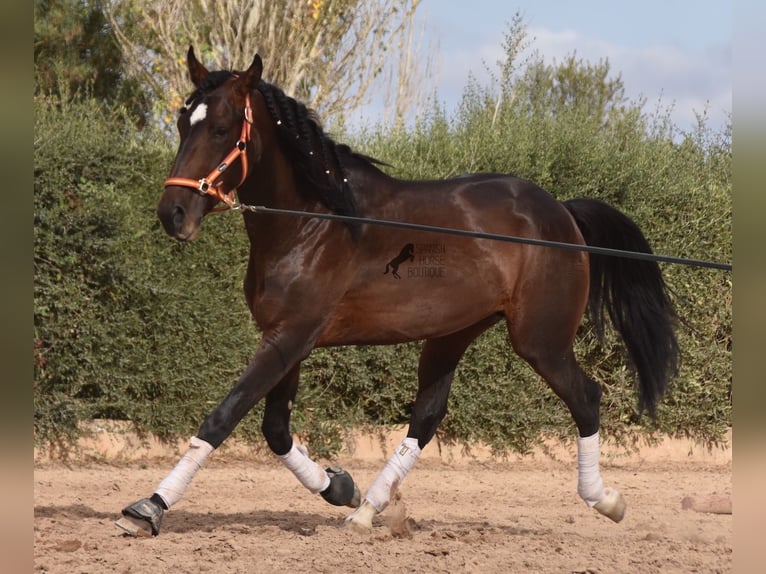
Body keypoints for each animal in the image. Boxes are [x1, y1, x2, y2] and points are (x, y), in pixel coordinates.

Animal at [114, 49, 680, 540]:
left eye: (222, 128)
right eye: (183, 122)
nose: (173, 215)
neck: (313, 223)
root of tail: (561, 214)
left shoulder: (289, 337)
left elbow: (223, 416)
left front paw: (148, 508)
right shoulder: (287, 339)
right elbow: (275, 429)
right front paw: (339, 487)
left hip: (541, 341)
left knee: (586, 397)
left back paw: (606, 501)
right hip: (453, 333)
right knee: (427, 416)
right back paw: (366, 510)